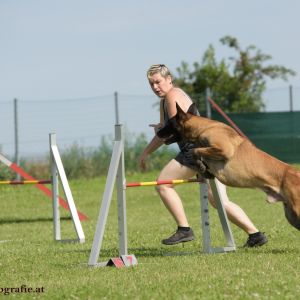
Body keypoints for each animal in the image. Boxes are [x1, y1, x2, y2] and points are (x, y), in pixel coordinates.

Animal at [156, 103, 300, 230]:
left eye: (169, 123)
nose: (157, 132)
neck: (203, 127)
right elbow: (198, 152)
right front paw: (203, 167)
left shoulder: (224, 150)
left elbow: (196, 150)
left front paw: (199, 163)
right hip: (291, 215)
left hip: (296, 210)